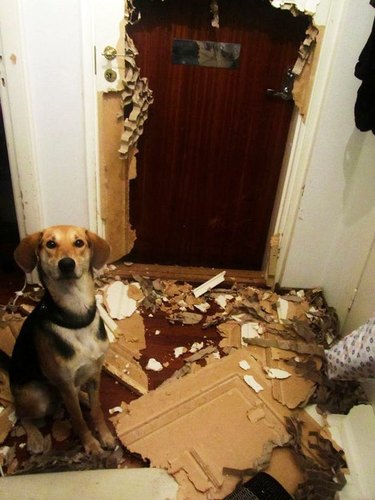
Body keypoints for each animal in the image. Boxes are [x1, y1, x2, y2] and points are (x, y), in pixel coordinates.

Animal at [10, 225, 116, 456]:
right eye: (51, 244)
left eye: (79, 243)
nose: (67, 264)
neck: (75, 317)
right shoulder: (65, 383)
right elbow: (79, 420)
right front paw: (91, 446)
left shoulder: (95, 373)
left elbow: (97, 411)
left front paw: (105, 436)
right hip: (37, 397)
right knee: (23, 414)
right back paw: (34, 437)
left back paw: (83, 398)